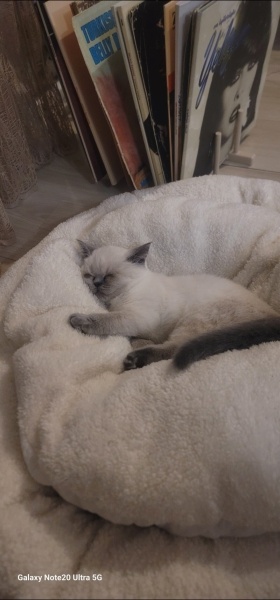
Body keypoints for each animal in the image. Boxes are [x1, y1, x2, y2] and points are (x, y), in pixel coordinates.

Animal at [69, 239, 280, 370]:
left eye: (109, 276)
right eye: (89, 275)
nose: (96, 283)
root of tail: (272, 314)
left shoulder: (135, 317)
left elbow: (105, 320)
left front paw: (77, 320)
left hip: (196, 317)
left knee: (175, 347)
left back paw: (134, 360)